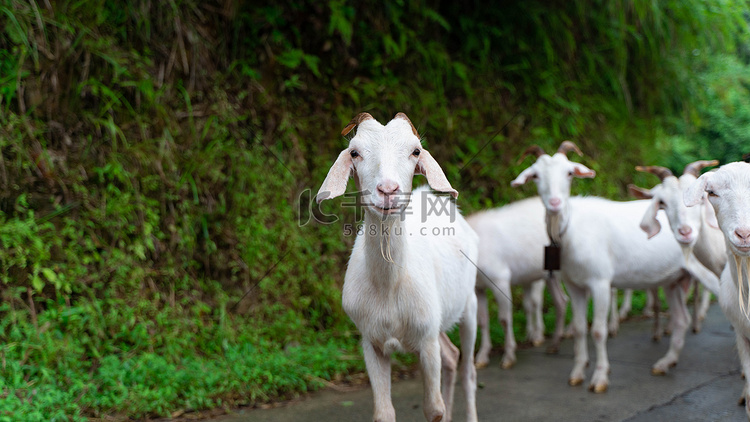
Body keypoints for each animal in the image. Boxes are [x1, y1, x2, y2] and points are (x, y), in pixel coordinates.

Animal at [316, 112, 478, 422]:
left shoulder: (427, 342)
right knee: (452, 356)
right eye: (354, 152)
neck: (390, 285)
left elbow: (434, 409)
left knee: (468, 370)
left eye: (415, 151)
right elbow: (383, 412)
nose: (388, 190)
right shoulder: (372, 342)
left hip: (469, 305)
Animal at [470, 197, 568, 366]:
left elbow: (504, 319)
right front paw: (482, 357)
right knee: (561, 301)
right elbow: (482, 320)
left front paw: (509, 356)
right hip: (550, 275)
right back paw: (554, 344)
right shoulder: (478, 287)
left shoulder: (500, 279)